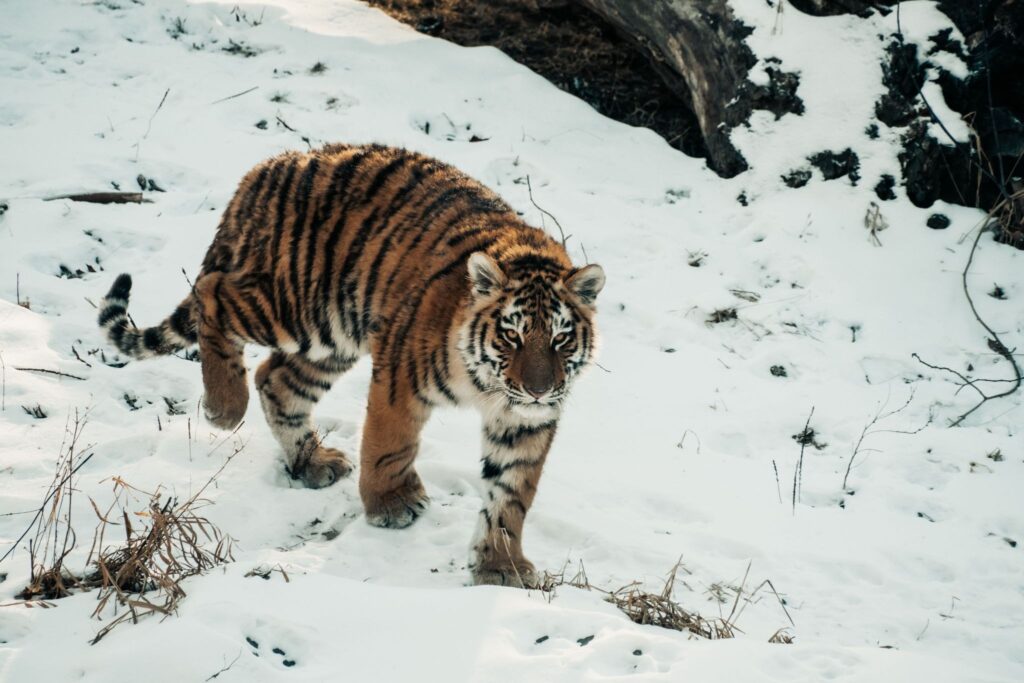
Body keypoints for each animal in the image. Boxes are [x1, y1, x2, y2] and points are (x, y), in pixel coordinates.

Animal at [97, 143, 605, 588]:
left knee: (276, 381)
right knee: (214, 294)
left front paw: (501, 565)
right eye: (512, 335)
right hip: (295, 303)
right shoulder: (401, 375)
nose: (539, 390)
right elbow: (389, 444)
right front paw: (391, 504)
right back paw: (225, 407)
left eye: (560, 339)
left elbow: (512, 495)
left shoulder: (526, 422)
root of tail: (265, 168)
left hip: (331, 338)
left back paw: (311, 463)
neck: (489, 386)